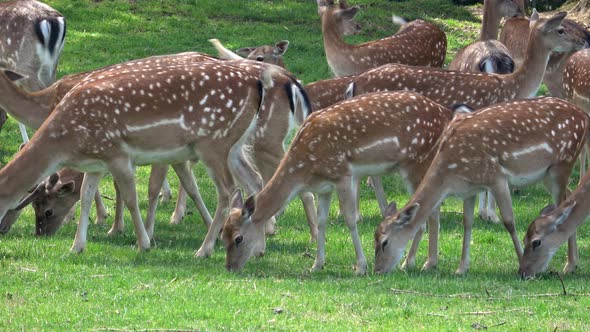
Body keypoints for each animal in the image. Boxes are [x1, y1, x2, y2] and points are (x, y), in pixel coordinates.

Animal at [224, 91, 460, 274]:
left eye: (238, 238)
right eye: (222, 236)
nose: (230, 267)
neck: (303, 169)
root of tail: (447, 115)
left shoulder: (343, 173)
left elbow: (350, 219)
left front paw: (361, 267)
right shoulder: (324, 187)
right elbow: (322, 221)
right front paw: (317, 264)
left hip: (418, 162)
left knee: (430, 211)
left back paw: (421, 263)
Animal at [376, 96, 588, 274]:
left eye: (384, 242)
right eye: (374, 238)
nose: (378, 270)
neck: (450, 174)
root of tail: (584, 116)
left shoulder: (496, 177)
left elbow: (509, 221)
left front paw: (522, 263)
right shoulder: (470, 188)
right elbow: (467, 222)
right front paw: (462, 268)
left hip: (564, 163)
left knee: (564, 205)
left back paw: (569, 265)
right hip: (547, 174)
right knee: (567, 197)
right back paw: (573, 263)